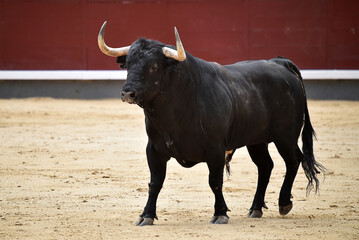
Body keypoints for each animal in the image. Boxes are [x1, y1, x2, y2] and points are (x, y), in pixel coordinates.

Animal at [97, 22, 324, 225]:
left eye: (153, 66)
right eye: (128, 65)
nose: (128, 93)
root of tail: (279, 62)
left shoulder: (215, 149)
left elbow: (215, 181)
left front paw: (220, 213)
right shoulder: (153, 149)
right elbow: (155, 183)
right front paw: (146, 216)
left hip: (285, 136)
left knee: (293, 161)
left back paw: (284, 203)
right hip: (256, 140)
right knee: (265, 166)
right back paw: (256, 208)